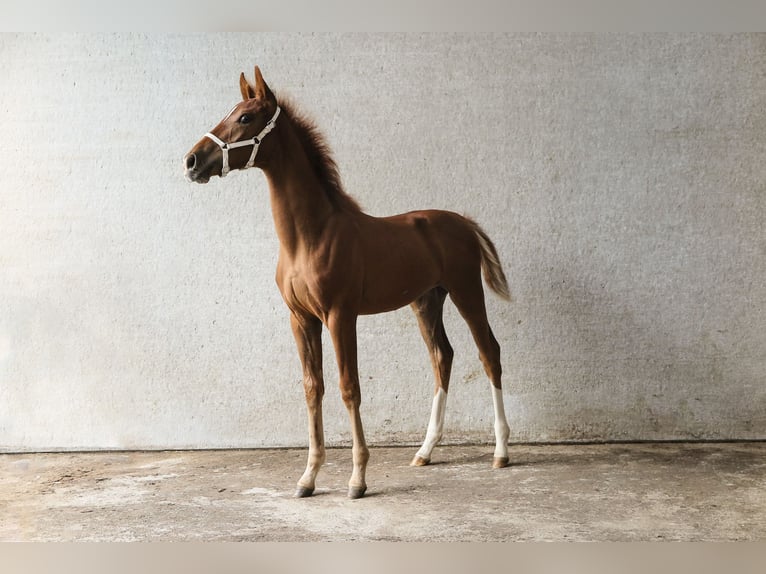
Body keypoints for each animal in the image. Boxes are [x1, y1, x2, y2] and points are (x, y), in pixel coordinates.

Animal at [183, 67, 512, 500]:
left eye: (245, 117)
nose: (191, 160)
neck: (310, 236)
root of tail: (465, 223)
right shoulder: (301, 320)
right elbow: (313, 388)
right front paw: (308, 477)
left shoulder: (341, 316)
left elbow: (348, 387)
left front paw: (357, 478)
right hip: (427, 301)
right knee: (442, 357)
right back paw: (425, 451)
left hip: (466, 292)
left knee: (489, 353)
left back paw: (502, 452)